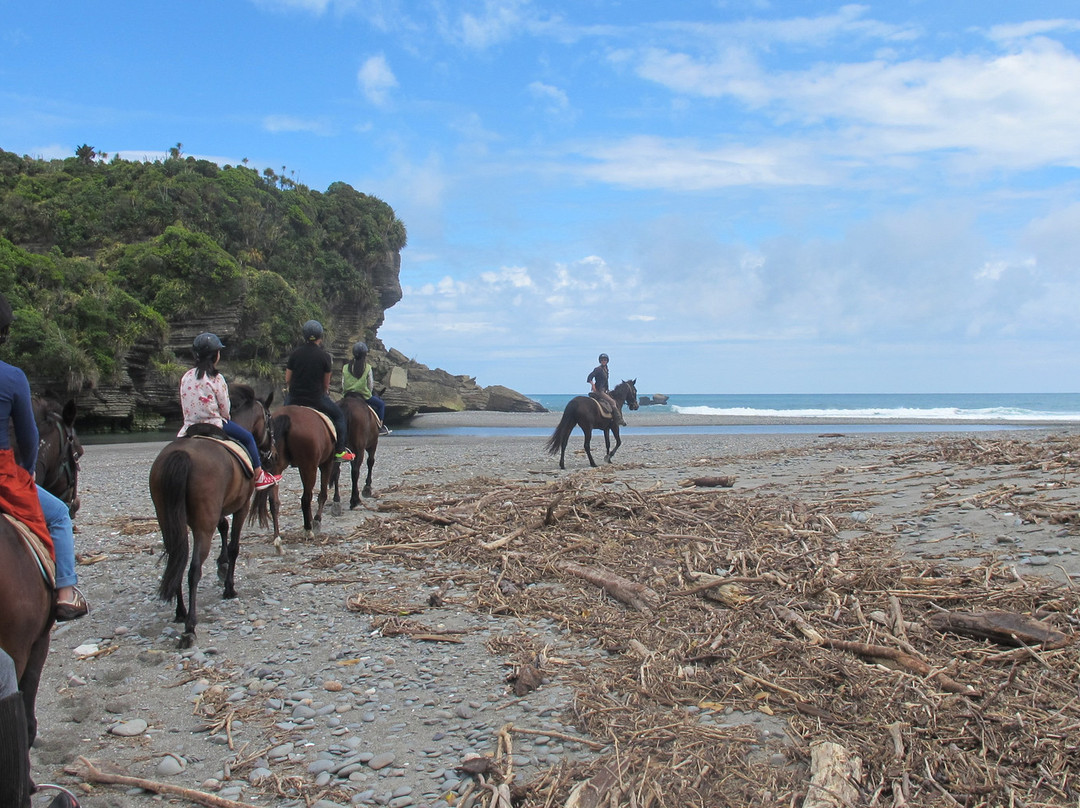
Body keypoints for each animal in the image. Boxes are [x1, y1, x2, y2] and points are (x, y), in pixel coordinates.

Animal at [149, 388, 274, 648]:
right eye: (270, 418)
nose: (271, 449)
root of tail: (180, 454)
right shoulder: (241, 507)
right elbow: (235, 545)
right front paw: (229, 587)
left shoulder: (217, 510)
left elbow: (223, 527)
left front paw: (222, 564)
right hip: (202, 527)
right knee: (193, 569)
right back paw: (190, 626)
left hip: (169, 520)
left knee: (177, 558)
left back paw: (181, 611)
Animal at [253, 404, 334, 557]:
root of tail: (288, 416)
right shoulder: (326, 464)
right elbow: (322, 494)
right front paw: (316, 520)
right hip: (309, 466)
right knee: (306, 498)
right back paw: (308, 530)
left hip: (276, 468)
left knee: (274, 503)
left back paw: (278, 542)